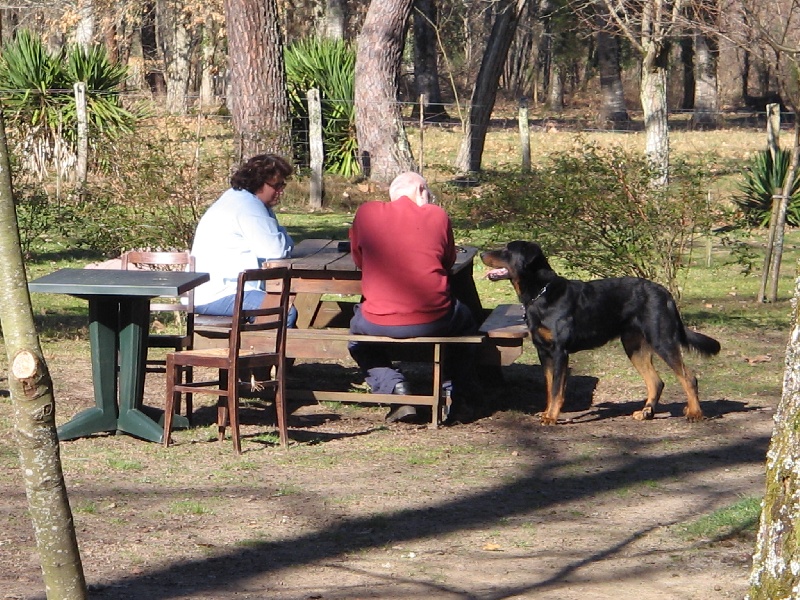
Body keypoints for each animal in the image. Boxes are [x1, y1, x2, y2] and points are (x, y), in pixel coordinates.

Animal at [478, 241, 720, 424]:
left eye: (507, 250)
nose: (481, 253)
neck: (540, 293)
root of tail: (666, 294)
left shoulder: (559, 352)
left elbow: (556, 389)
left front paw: (552, 417)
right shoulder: (543, 352)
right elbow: (549, 387)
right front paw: (547, 412)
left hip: (662, 339)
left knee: (688, 377)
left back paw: (694, 413)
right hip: (633, 345)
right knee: (656, 381)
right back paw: (646, 412)